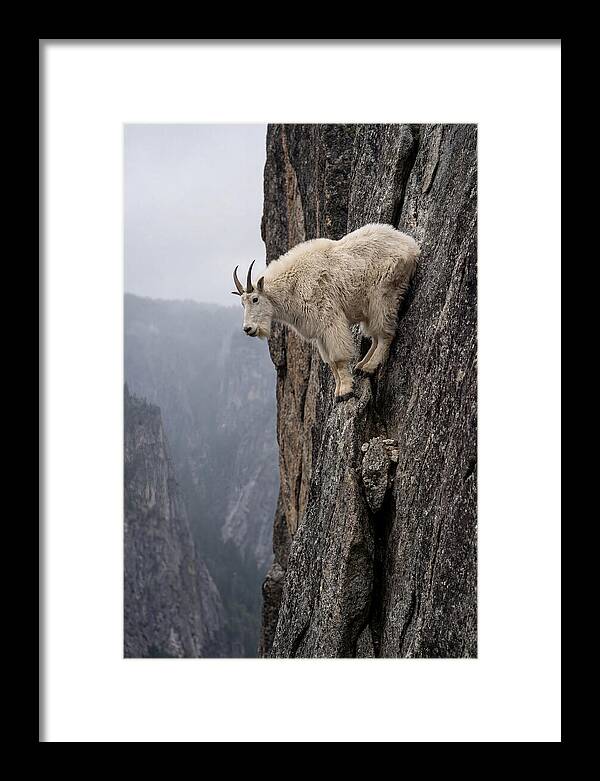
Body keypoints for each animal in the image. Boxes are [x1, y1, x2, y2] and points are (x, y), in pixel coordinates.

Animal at [232, 223, 420, 401]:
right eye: (242, 303)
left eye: (255, 299)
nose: (248, 329)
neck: (293, 286)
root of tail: (411, 245)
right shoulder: (319, 333)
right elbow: (330, 363)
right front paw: (337, 391)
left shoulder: (329, 319)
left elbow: (338, 358)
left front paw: (345, 391)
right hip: (369, 307)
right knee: (375, 336)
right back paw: (361, 366)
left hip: (383, 295)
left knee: (385, 333)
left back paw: (369, 367)